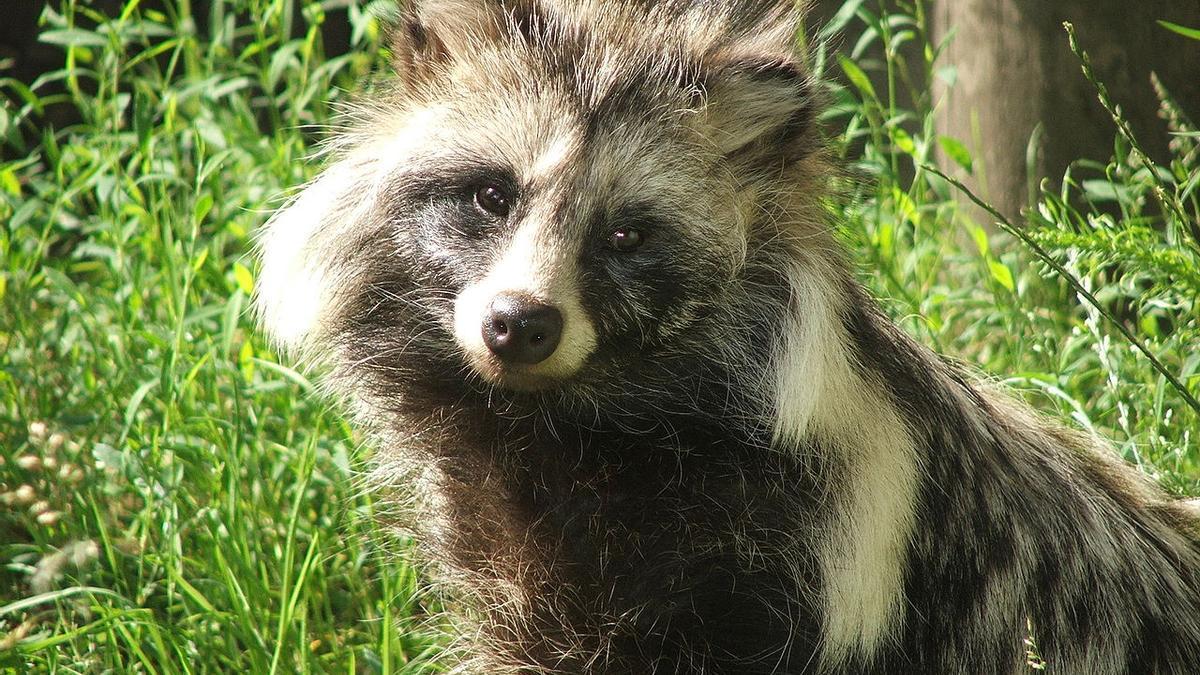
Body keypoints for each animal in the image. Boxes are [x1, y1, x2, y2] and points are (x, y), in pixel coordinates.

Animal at [253, 0, 1200, 667]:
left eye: (626, 234)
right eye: (493, 194)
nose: (518, 324)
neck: (572, 427)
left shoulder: (813, 565)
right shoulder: (523, 570)